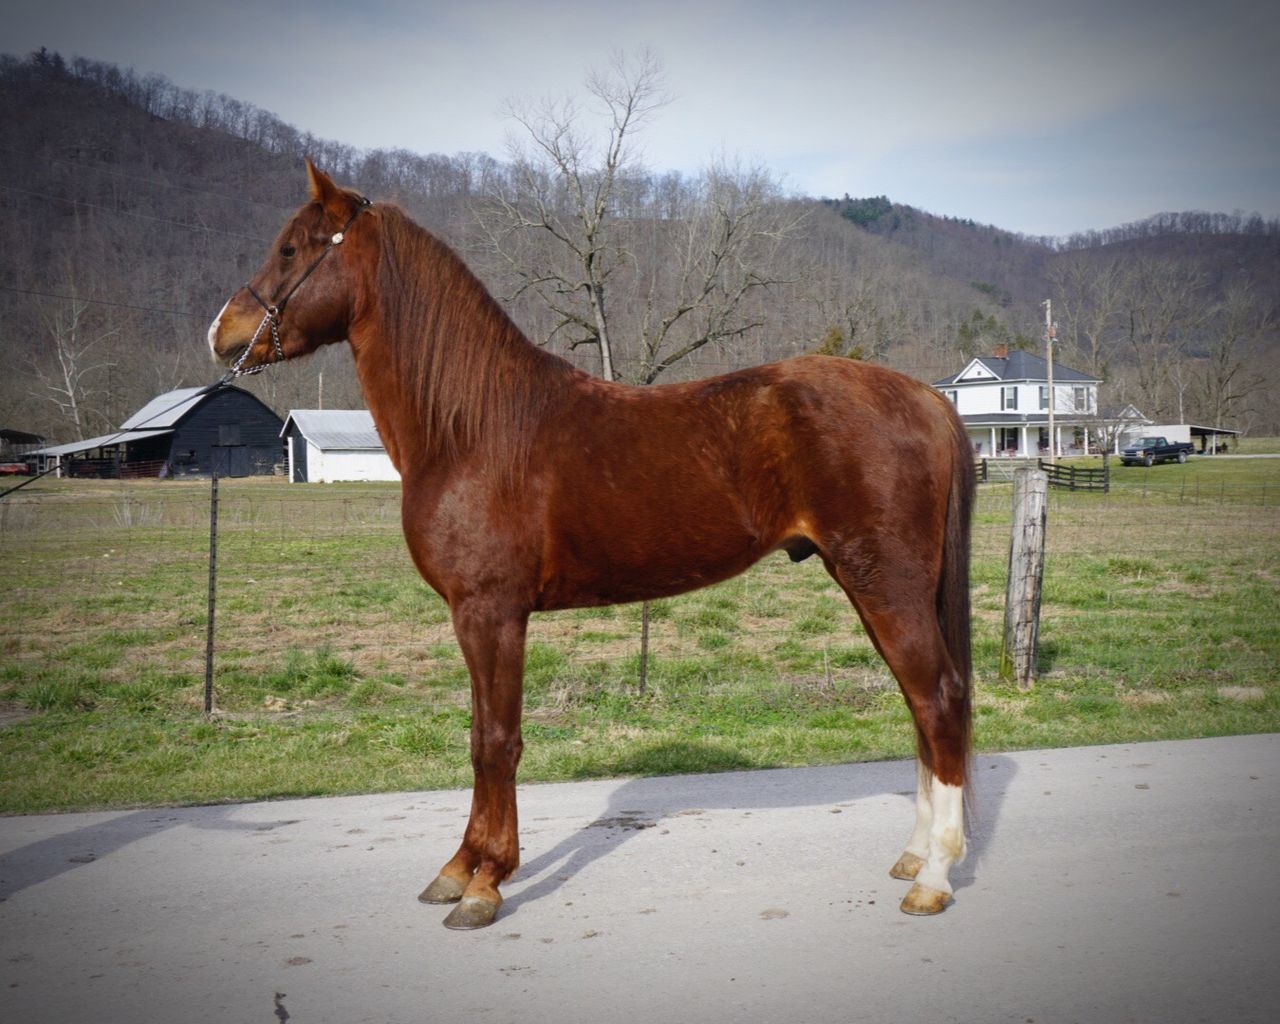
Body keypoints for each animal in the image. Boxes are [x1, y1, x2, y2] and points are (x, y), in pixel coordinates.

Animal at [207, 160, 967, 926]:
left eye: (292, 249)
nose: (222, 333)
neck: (473, 427)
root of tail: (927, 398)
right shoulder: (473, 616)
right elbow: (479, 736)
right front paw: (458, 869)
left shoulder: (491, 612)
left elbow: (497, 741)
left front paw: (485, 882)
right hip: (870, 585)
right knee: (920, 704)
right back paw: (914, 856)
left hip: (887, 585)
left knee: (938, 700)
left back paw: (933, 877)